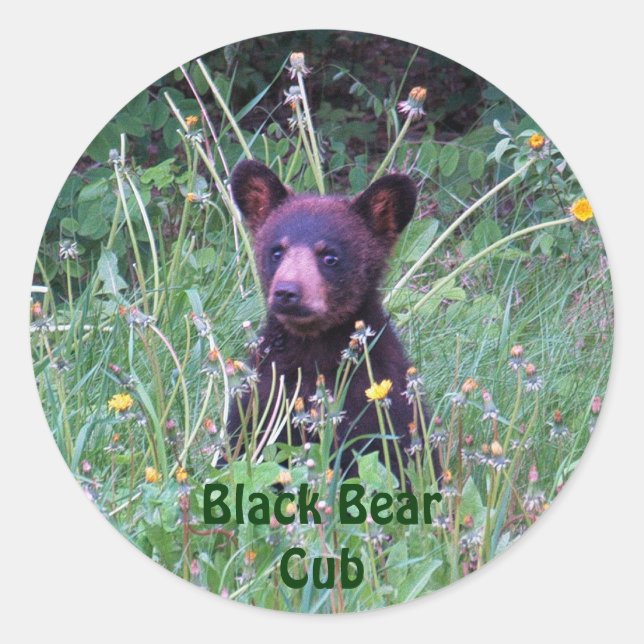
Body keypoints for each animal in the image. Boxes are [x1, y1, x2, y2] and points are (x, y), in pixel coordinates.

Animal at [227, 159, 441, 486]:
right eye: (276, 251)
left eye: (330, 257)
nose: (287, 292)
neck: (313, 347)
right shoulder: (263, 396)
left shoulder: (375, 402)